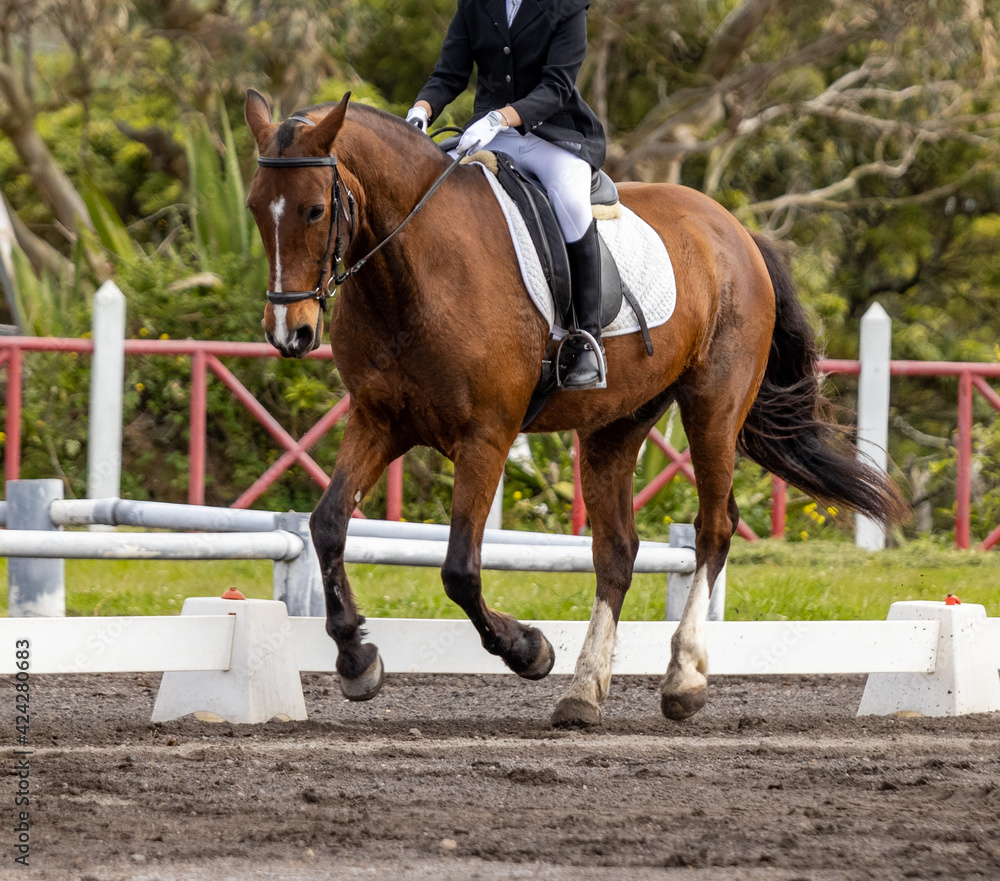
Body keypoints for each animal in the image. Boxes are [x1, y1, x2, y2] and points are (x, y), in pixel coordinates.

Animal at [243, 90, 908, 727]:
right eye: (253, 208)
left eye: (315, 210)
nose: (289, 333)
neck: (411, 268)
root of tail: (734, 230)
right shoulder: (379, 422)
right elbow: (328, 525)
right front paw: (357, 659)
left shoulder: (486, 436)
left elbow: (459, 568)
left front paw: (529, 650)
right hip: (617, 423)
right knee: (617, 551)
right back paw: (584, 693)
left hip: (714, 405)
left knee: (714, 528)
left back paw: (683, 680)